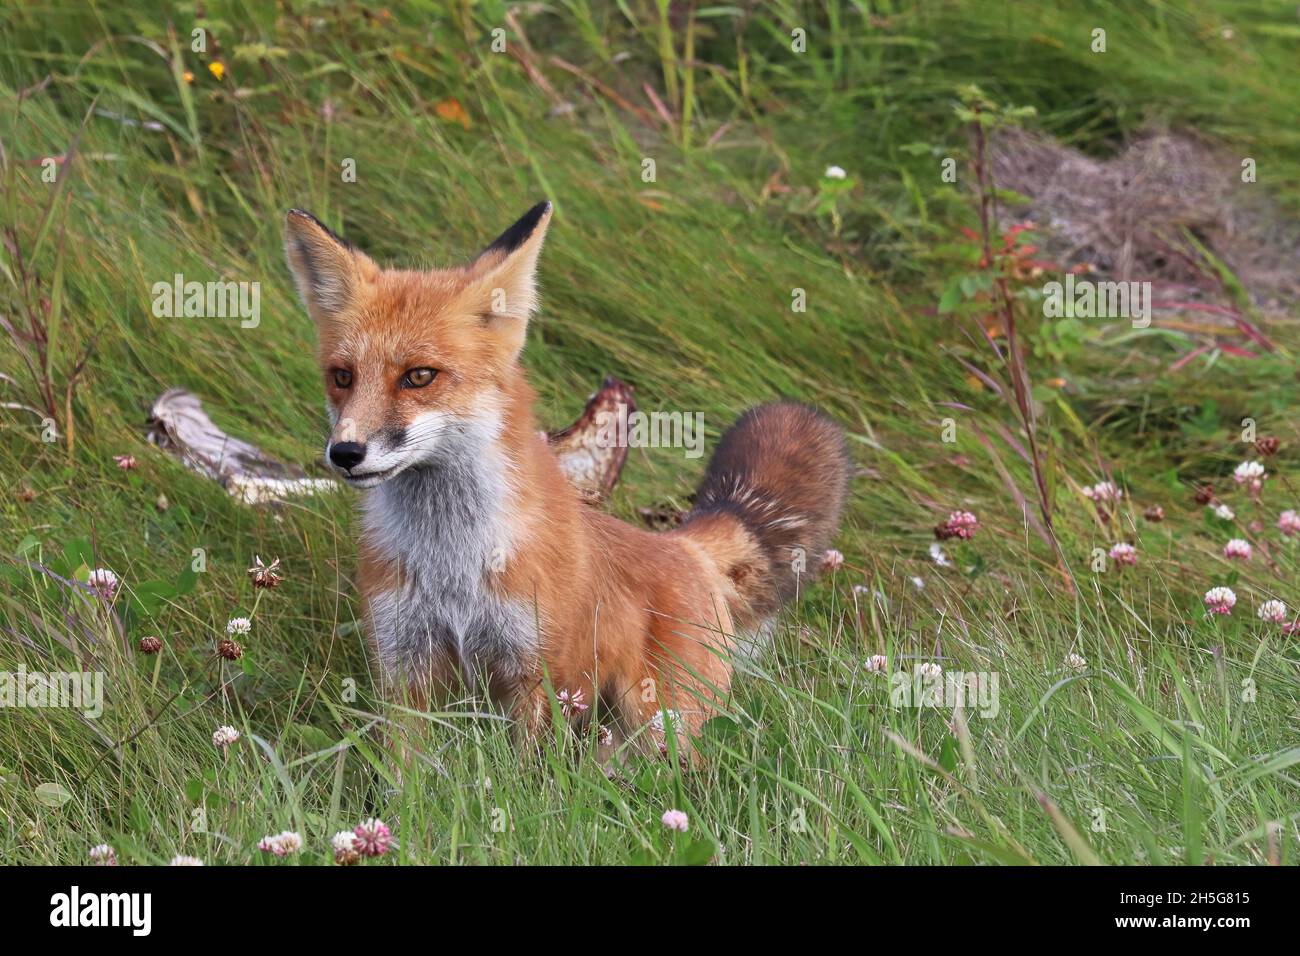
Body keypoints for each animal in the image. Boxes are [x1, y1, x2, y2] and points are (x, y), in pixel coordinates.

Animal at [284, 201, 850, 755]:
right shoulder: (404, 664)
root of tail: (682, 545)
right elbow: (410, 772)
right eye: (342, 377)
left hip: (659, 725)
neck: (452, 562)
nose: (345, 453)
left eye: (419, 376)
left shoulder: (539, 671)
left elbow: (527, 771)